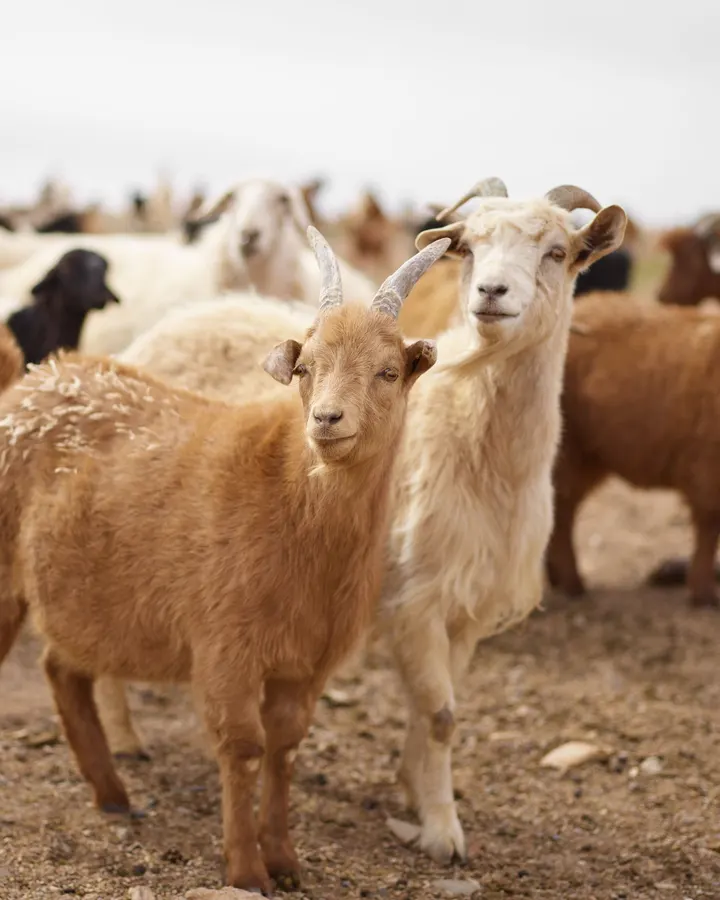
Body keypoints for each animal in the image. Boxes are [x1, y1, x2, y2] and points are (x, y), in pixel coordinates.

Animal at [0, 227, 445, 894]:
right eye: (305, 369)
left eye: (388, 372)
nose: (327, 420)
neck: (287, 492)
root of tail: (34, 380)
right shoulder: (225, 646)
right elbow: (242, 746)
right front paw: (246, 869)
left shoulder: (306, 662)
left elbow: (286, 745)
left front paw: (285, 860)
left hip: (82, 596)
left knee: (63, 668)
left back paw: (113, 796)